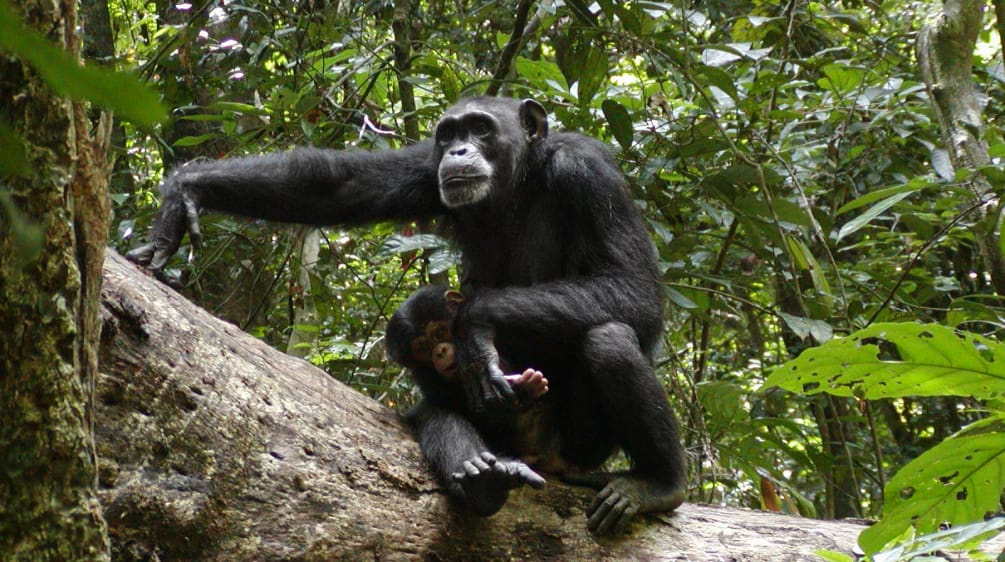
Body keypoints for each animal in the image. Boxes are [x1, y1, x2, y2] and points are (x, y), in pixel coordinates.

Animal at [129, 98, 687, 534]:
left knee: (609, 340)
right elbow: (335, 186)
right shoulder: (425, 166)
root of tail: (542, 458)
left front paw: (475, 325)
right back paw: (484, 477)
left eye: (481, 128)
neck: (516, 185)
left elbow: (633, 287)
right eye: (449, 134)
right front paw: (185, 191)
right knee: (438, 414)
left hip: (585, 446)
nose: (459, 151)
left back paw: (659, 485)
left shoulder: (588, 174)